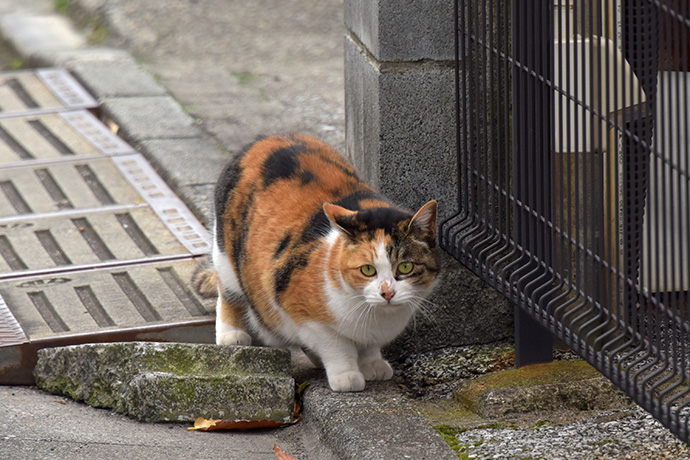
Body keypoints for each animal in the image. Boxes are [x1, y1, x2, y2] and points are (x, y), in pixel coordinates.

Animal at [194, 133, 438, 392]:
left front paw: (372, 363)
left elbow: (368, 346)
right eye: (367, 270)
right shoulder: (301, 310)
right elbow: (336, 346)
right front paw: (347, 375)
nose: (387, 293)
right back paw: (232, 333)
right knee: (229, 295)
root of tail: (266, 138)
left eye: (405, 267)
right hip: (226, 256)